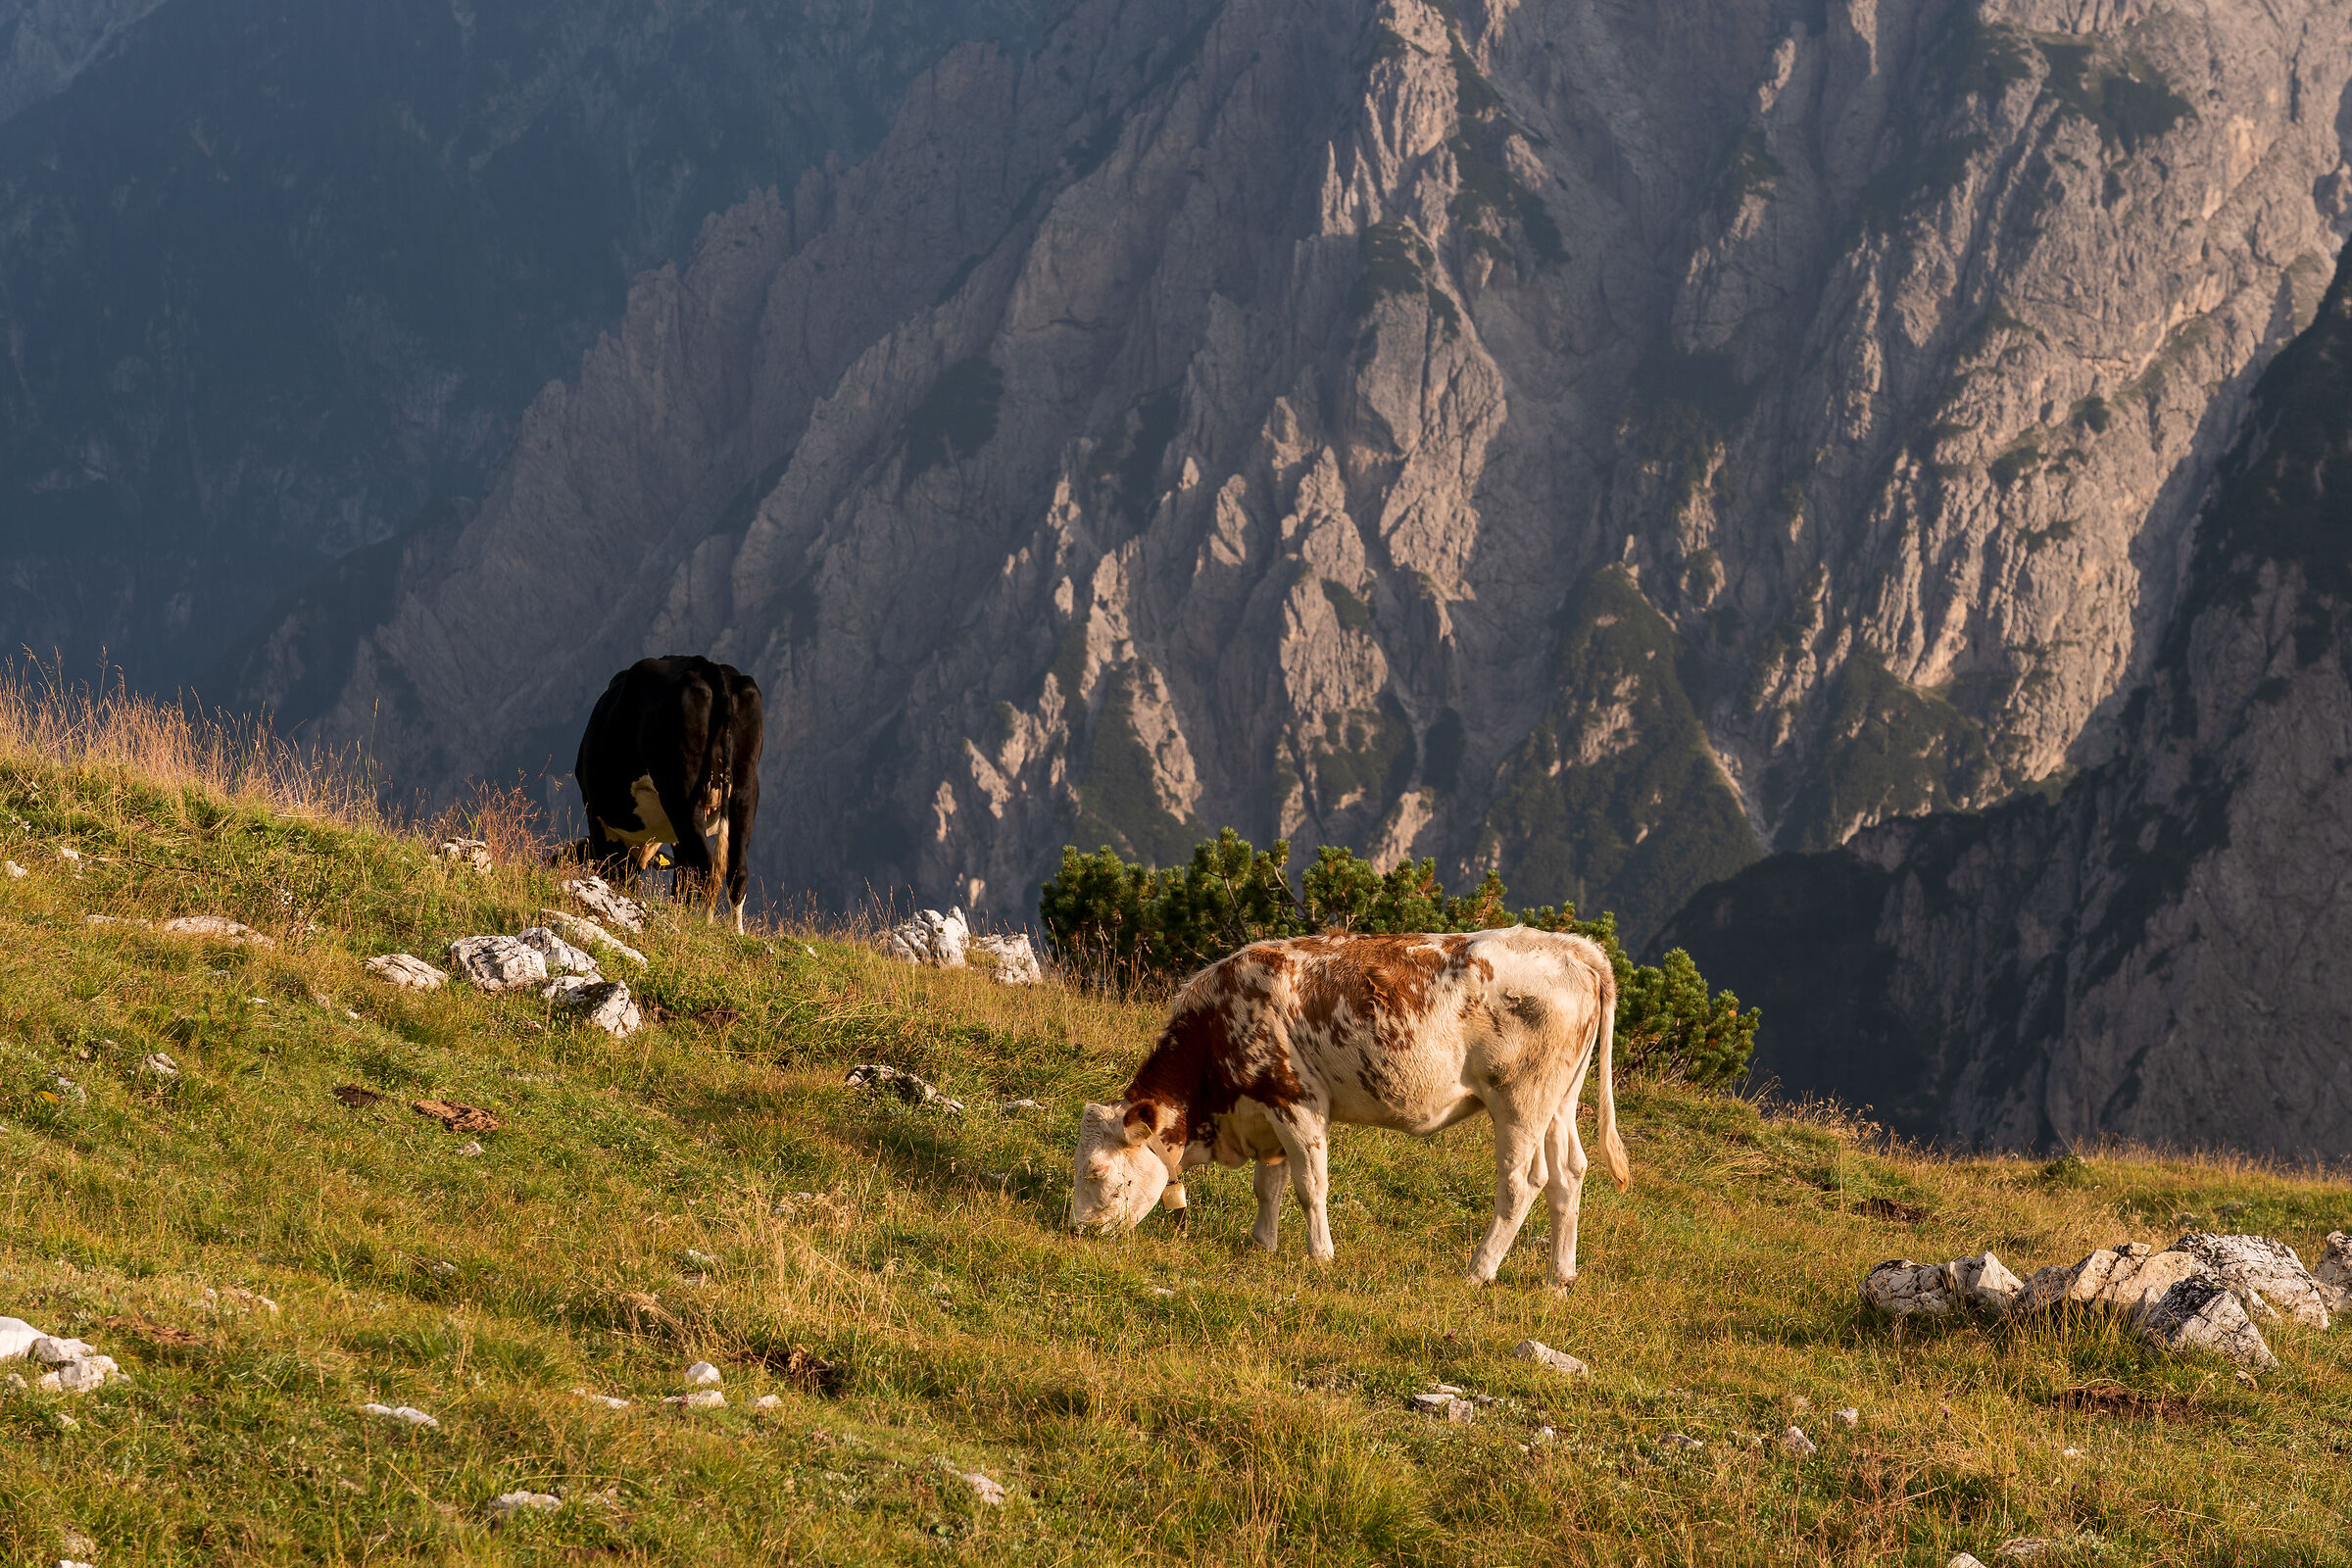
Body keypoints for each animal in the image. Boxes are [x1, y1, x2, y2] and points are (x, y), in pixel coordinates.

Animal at [571, 655, 764, 930]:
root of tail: (708, 666)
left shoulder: (595, 813)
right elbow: (681, 881)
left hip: (682, 792)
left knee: (707, 869)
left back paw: (703, 927)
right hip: (745, 788)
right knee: (737, 872)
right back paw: (736, 934)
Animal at [1069, 927, 1630, 1288]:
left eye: (1097, 1172)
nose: (1076, 1232)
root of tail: (1572, 946)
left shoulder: (1297, 1101)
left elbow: (1309, 1187)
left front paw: (1320, 1257)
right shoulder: (1267, 1110)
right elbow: (1268, 1184)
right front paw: (1261, 1244)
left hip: (1520, 1101)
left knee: (1522, 1182)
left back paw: (1477, 1272)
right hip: (1560, 1101)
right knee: (1569, 1173)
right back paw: (1559, 1277)